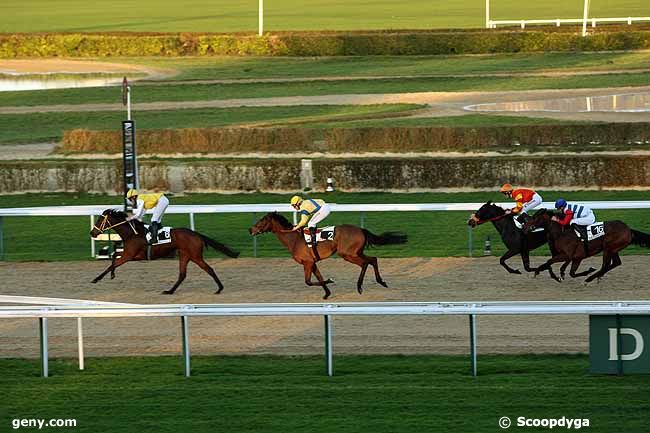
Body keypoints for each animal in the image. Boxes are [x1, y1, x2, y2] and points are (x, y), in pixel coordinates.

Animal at [90, 208, 239, 294]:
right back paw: (170, 291)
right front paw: (112, 275)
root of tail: (196, 234)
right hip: (184, 255)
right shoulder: (131, 255)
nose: (92, 233)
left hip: (195, 256)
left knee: (209, 269)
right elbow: (114, 256)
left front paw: (97, 279)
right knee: (182, 274)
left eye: (100, 220)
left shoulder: (129, 255)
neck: (132, 233)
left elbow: (112, 263)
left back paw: (219, 289)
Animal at [248, 211, 404, 298]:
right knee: (373, 259)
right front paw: (327, 293)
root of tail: (361, 229)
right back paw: (381, 281)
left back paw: (359, 286)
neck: (293, 239)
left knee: (365, 263)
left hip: (347, 254)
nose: (251, 230)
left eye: (262, 220)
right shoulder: (312, 263)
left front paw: (330, 280)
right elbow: (318, 277)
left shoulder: (307, 262)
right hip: (356, 252)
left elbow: (308, 281)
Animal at [520, 210, 648, 284]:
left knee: (605, 265)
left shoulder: (567, 255)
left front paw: (544, 273)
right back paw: (597, 276)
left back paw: (590, 279)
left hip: (608, 248)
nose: (524, 228)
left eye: (535, 217)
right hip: (613, 249)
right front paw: (558, 275)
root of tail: (628, 229)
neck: (561, 233)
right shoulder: (575, 257)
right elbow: (569, 271)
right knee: (615, 263)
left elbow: (549, 261)